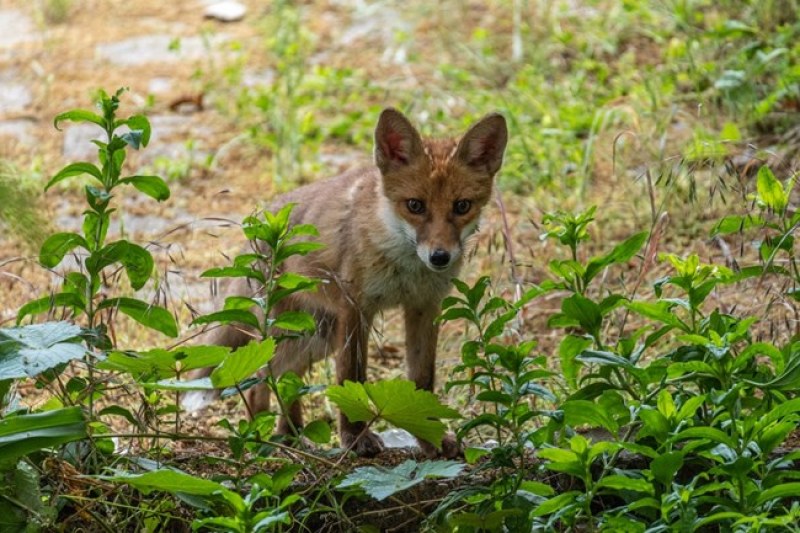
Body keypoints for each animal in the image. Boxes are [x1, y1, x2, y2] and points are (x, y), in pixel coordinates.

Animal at [184, 109, 506, 458]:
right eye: (415, 205)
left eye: (462, 206)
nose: (439, 257)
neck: (404, 266)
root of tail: (262, 220)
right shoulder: (356, 308)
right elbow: (351, 376)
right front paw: (355, 437)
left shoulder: (424, 307)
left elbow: (422, 379)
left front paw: (430, 437)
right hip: (296, 332)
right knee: (260, 377)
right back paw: (261, 439)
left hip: (316, 336)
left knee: (285, 377)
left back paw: (291, 435)